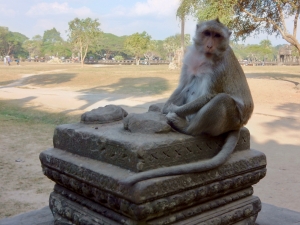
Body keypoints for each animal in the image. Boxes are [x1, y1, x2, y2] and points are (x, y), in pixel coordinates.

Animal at [122, 18, 253, 185]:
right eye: (207, 33)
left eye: (217, 36)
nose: (209, 45)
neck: (205, 56)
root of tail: (239, 125)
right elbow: (183, 85)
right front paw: (164, 107)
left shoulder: (220, 66)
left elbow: (209, 95)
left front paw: (170, 110)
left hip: (232, 119)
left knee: (221, 100)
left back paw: (186, 127)